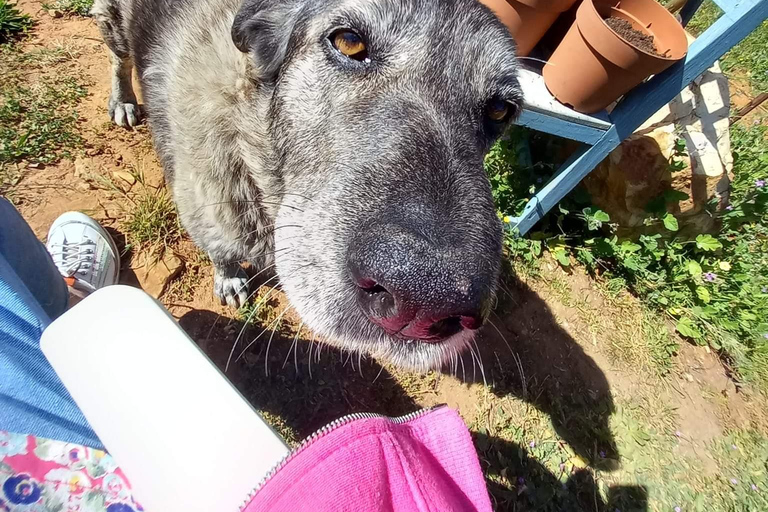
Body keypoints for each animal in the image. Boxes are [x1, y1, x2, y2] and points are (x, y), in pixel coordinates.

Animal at [90, 0, 520, 370]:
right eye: (349, 41)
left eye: (502, 109)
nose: (425, 299)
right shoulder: (207, 212)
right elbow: (221, 251)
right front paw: (229, 277)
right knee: (116, 55)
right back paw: (122, 98)